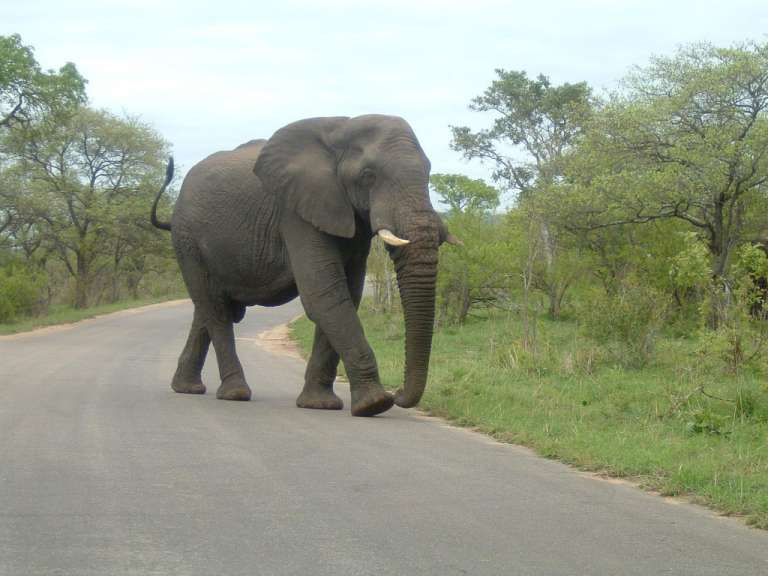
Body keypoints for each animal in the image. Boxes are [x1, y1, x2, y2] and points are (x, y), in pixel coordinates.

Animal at [151, 115, 457, 416]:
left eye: (428, 173)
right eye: (368, 175)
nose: (399, 394)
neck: (342, 128)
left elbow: (346, 295)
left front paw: (320, 404)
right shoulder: (294, 211)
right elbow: (323, 293)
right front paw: (375, 404)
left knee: (209, 308)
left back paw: (187, 388)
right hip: (187, 240)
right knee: (215, 308)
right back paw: (235, 393)